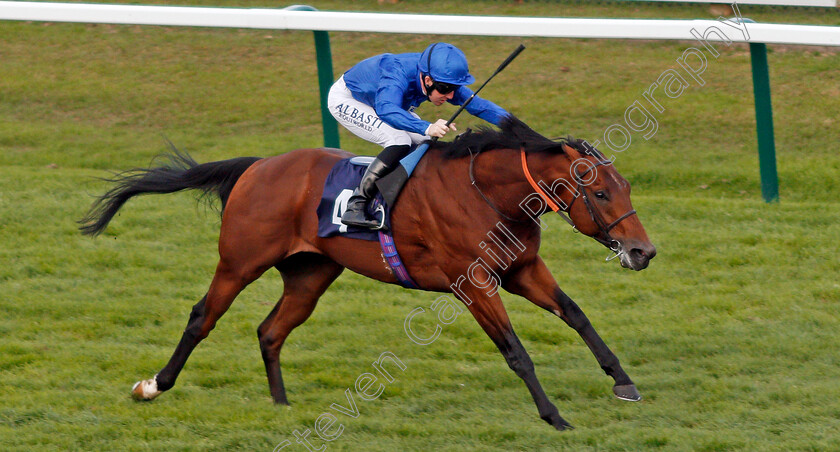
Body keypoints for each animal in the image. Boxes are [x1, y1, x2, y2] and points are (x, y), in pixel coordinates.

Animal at [80, 115, 656, 430]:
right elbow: (516, 351)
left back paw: (282, 403)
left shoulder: (522, 269)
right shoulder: (472, 283)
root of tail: (258, 165)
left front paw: (623, 383)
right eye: (599, 192)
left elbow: (576, 315)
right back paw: (154, 385)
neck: (487, 194)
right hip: (240, 260)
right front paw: (554, 416)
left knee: (271, 330)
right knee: (204, 316)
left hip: (310, 273)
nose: (643, 251)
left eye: (626, 186)